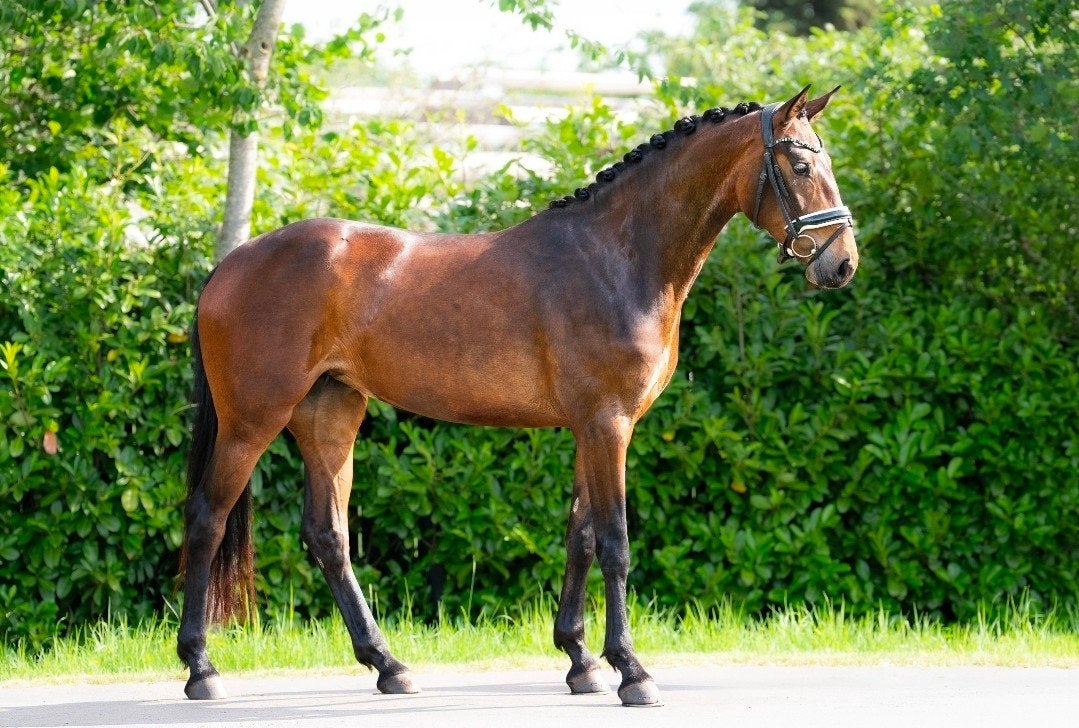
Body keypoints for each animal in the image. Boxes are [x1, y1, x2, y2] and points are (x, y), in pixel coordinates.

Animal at [177, 85, 859, 707]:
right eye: (801, 167)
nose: (842, 264)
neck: (616, 258)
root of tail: (230, 265)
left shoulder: (596, 428)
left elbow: (581, 537)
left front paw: (581, 660)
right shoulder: (607, 425)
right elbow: (615, 544)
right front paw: (632, 672)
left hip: (330, 415)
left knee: (328, 537)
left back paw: (389, 665)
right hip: (250, 422)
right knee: (208, 517)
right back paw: (201, 668)